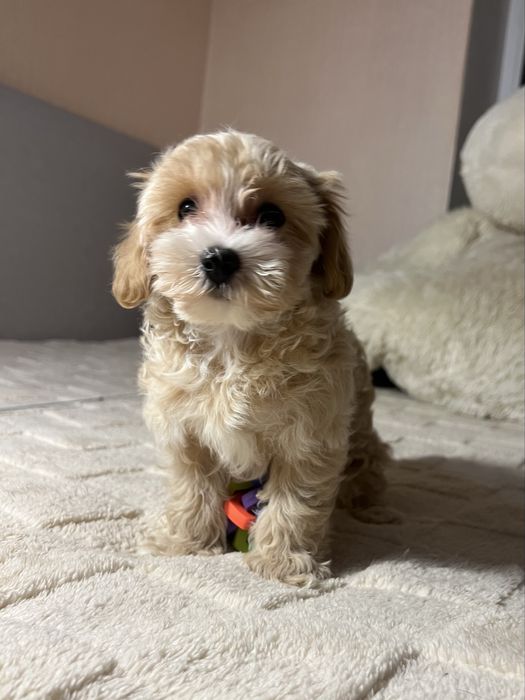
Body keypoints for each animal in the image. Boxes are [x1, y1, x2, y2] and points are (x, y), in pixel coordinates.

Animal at [112, 130, 390, 585]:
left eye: (272, 216)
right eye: (185, 207)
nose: (218, 257)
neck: (233, 344)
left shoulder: (310, 434)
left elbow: (295, 501)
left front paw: (282, 560)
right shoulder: (184, 429)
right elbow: (192, 487)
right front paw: (185, 542)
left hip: (359, 423)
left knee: (372, 456)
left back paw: (370, 503)